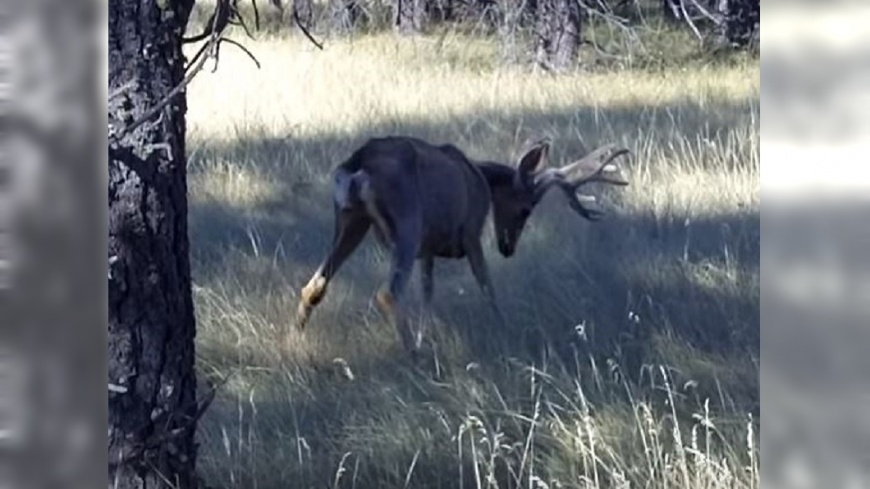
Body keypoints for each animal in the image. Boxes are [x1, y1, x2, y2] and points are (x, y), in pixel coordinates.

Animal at [294, 135, 630, 354]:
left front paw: (424, 335)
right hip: (407, 221)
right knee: (388, 293)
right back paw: (412, 355)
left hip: (351, 221)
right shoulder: (470, 231)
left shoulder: (428, 249)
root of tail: (358, 165)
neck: (481, 178)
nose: (508, 248)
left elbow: (428, 292)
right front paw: (502, 325)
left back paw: (296, 339)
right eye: (525, 209)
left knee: (314, 286)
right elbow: (486, 283)